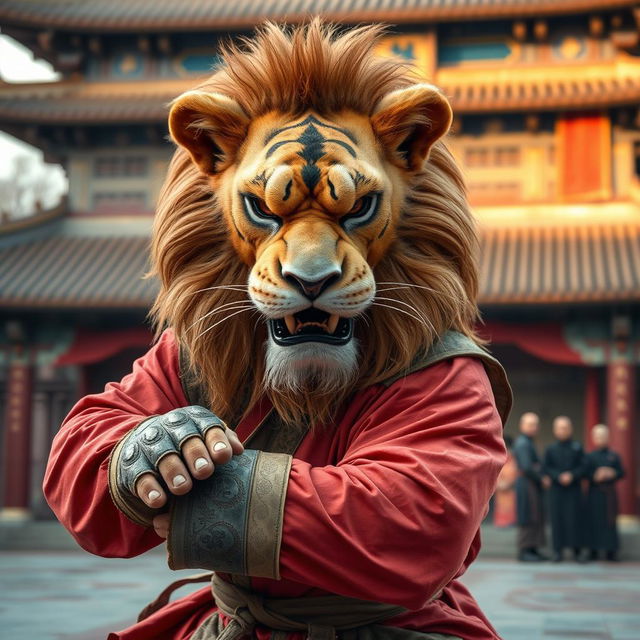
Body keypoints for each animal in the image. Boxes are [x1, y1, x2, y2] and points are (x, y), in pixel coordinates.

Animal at [45, 18, 512, 640]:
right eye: (262, 208)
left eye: (359, 207)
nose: (310, 280)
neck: (306, 390)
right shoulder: (171, 354)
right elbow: (89, 418)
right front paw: (166, 443)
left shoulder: (451, 384)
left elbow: (401, 502)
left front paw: (189, 456)